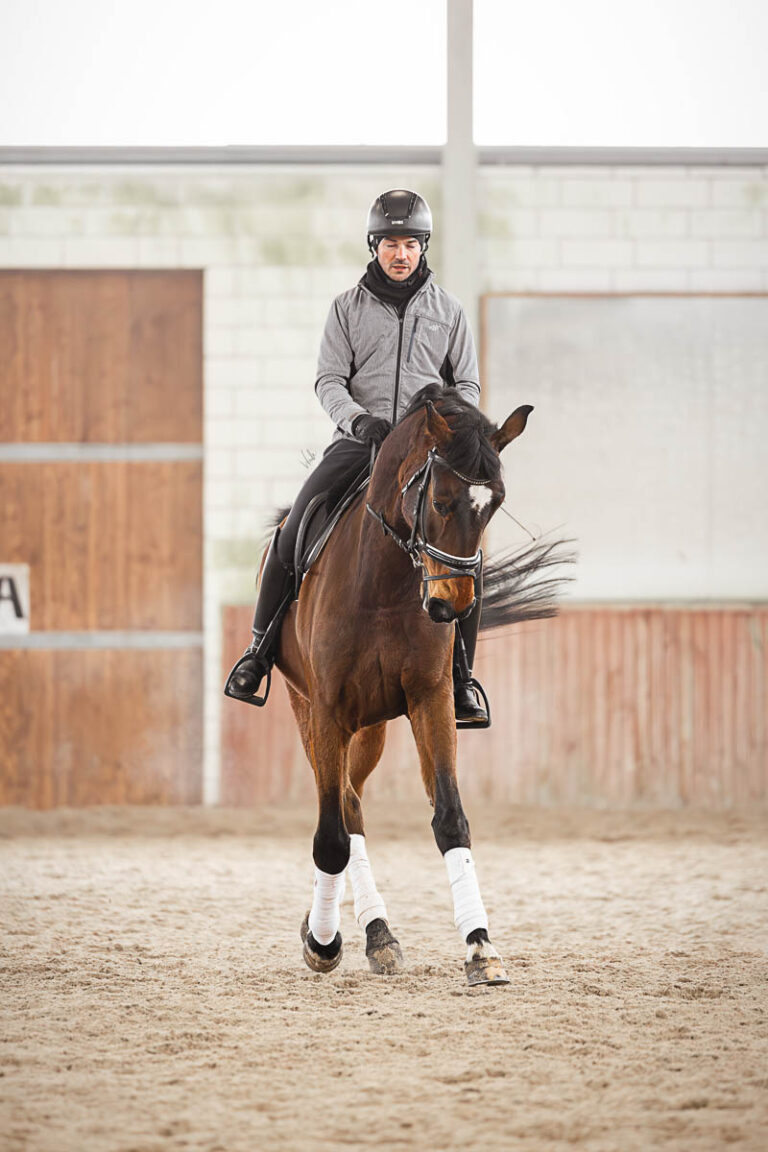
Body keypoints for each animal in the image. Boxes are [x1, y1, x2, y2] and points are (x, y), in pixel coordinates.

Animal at [270, 383, 567, 985]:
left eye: (494, 504)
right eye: (440, 502)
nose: (453, 604)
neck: (383, 584)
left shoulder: (431, 700)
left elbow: (450, 818)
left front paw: (480, 947)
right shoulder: (328, 709)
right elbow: (330, 838)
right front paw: (322, 943)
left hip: (372, 729)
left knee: (352, 802)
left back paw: (378, 934)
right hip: (308, 709)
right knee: (342, 810)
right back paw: (344, 931)